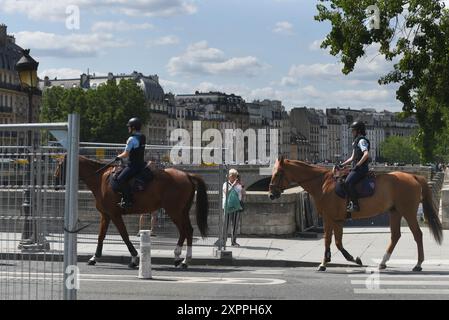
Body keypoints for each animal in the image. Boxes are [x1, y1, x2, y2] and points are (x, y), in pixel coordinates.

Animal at [56, 156, 208, 268]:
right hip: (182, 212)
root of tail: (187, 175)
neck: (101, 179)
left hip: (174, 211)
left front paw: (134, 258)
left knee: (185, 230)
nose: (56, 183)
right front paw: (94, 257)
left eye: (59, 165)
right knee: (187, 230)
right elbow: (101, 236)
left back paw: (182, 259)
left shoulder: (115, 214)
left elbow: (124, 236)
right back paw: (181, 259)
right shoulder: (106, 215)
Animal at [268, 158, 442, 272]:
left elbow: (327, 240)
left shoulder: (328, 218)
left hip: (408, 211)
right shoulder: (337, 219)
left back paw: (418, 264)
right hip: (395, 211)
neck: (323, 183)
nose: (271, 194)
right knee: (395, 236)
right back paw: (383, 262)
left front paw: (324, 263)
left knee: (417, 234)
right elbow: (337, 242)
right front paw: (353, 259)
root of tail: (413, 176)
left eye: (278, 173)